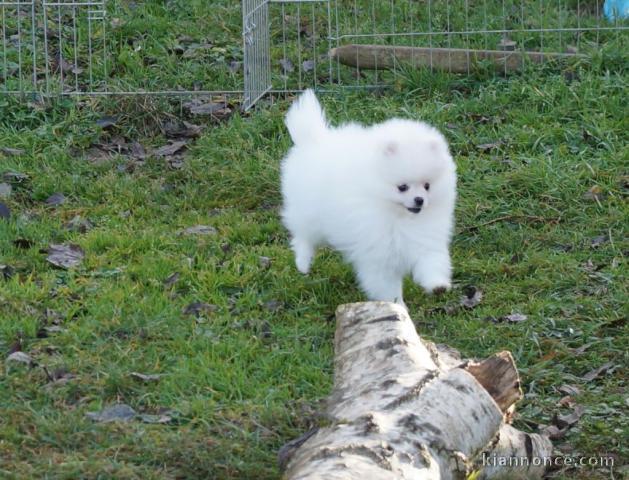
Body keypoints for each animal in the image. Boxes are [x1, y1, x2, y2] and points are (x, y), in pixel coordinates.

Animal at [280, 92, 456, 306]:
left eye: (427, 186)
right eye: (402, 187)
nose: (419, 200)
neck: (398, 217)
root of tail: (313, 139)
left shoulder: (425, 239)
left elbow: (431, 262)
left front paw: (437, 285)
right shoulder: (378, 255)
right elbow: (387, 286)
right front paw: (397, 307)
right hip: (309, 214)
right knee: (303, 236)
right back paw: (303, 263)